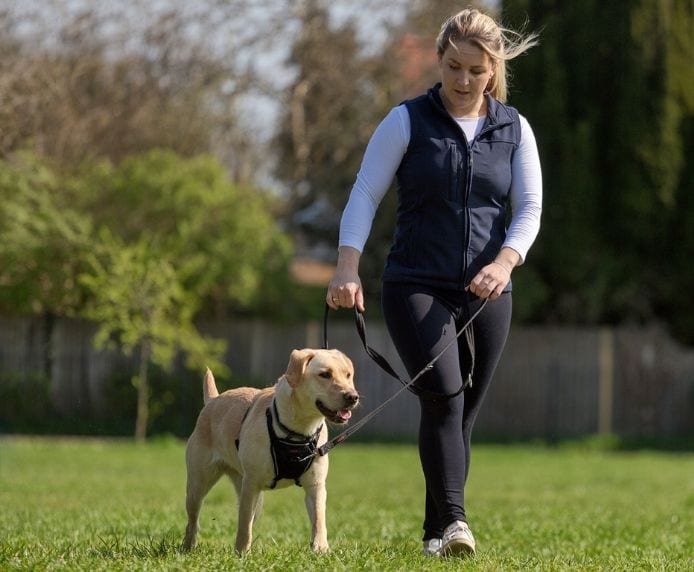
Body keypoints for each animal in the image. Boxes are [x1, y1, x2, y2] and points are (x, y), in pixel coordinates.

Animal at [179, 348, 358, 556]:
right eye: (325, 374)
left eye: (348, 375)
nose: (353, 396)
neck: (298, 431)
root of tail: (213, 400)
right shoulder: (251, 484)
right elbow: (243, 526)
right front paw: (242, 554)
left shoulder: (316, 485)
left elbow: (319, 520)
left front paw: (321, 549)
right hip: (198, 484)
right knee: (194, 520)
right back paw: (187, 547)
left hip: (252, 496)